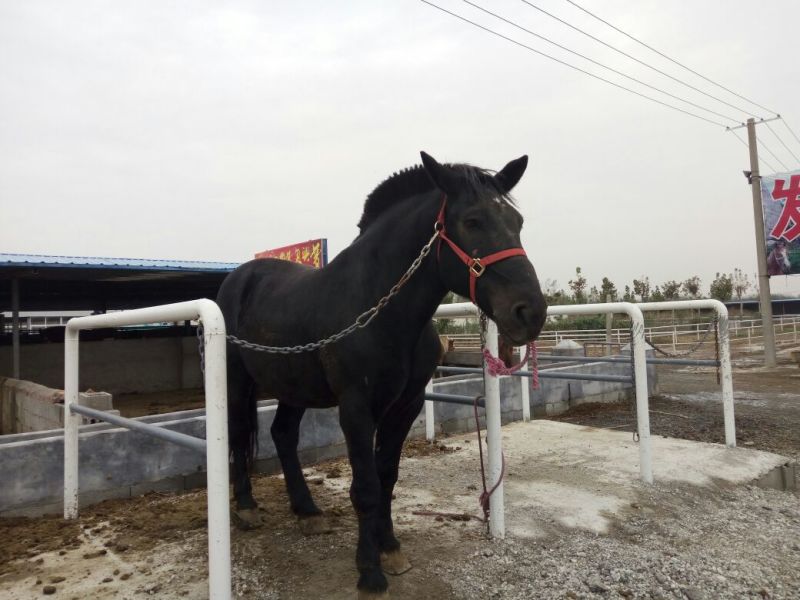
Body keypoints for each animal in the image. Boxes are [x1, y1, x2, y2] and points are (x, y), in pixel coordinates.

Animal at [216, 152, 547, 599]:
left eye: (517, 222)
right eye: (472, 221)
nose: (530, 312)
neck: (378, 306)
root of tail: (238, 278)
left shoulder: (405, 404)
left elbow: (387, 476)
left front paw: (390, 549)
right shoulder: (356, 407)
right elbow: (367, 487)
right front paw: (370, 572)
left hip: (294, 387)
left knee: (282, 434)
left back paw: (307, 511)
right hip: (238, 383)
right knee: (238, 437)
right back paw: (248, 508)